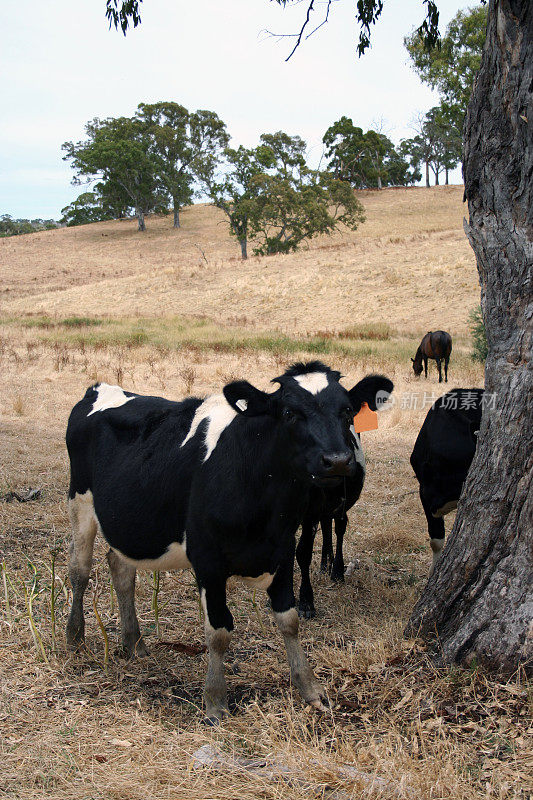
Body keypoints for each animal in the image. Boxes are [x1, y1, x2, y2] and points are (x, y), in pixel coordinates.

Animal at [298, 376, 392, 620]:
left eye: (347, 412)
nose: (337, 461)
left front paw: (306, 602)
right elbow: (299, 551)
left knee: (338, 527)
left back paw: (336, 569)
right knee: (326, 525)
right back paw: (325, 563)